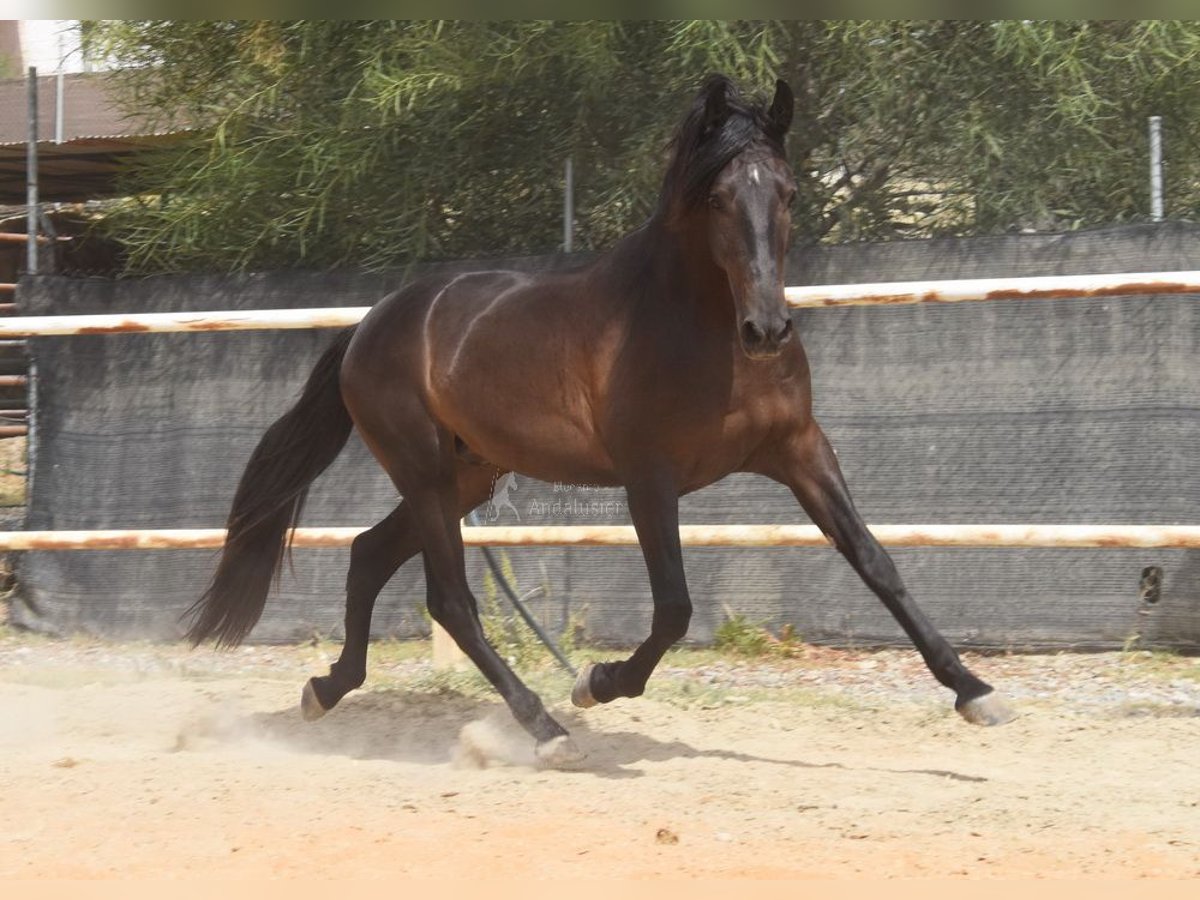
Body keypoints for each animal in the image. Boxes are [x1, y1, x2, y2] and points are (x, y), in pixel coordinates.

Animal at [186, 74, 1015, 766]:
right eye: (718, 197)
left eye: (786, 191)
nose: (768, 328)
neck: (702, 328)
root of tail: (370, 324)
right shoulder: (649, 478)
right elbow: (674, 609)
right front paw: (598, 682)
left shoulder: (800, 450)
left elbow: (877, 562)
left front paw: (975, 692)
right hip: (424, 471)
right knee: (451, 601)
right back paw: (547, 729)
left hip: (467, 474)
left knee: (366, 555)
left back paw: (325, 690)